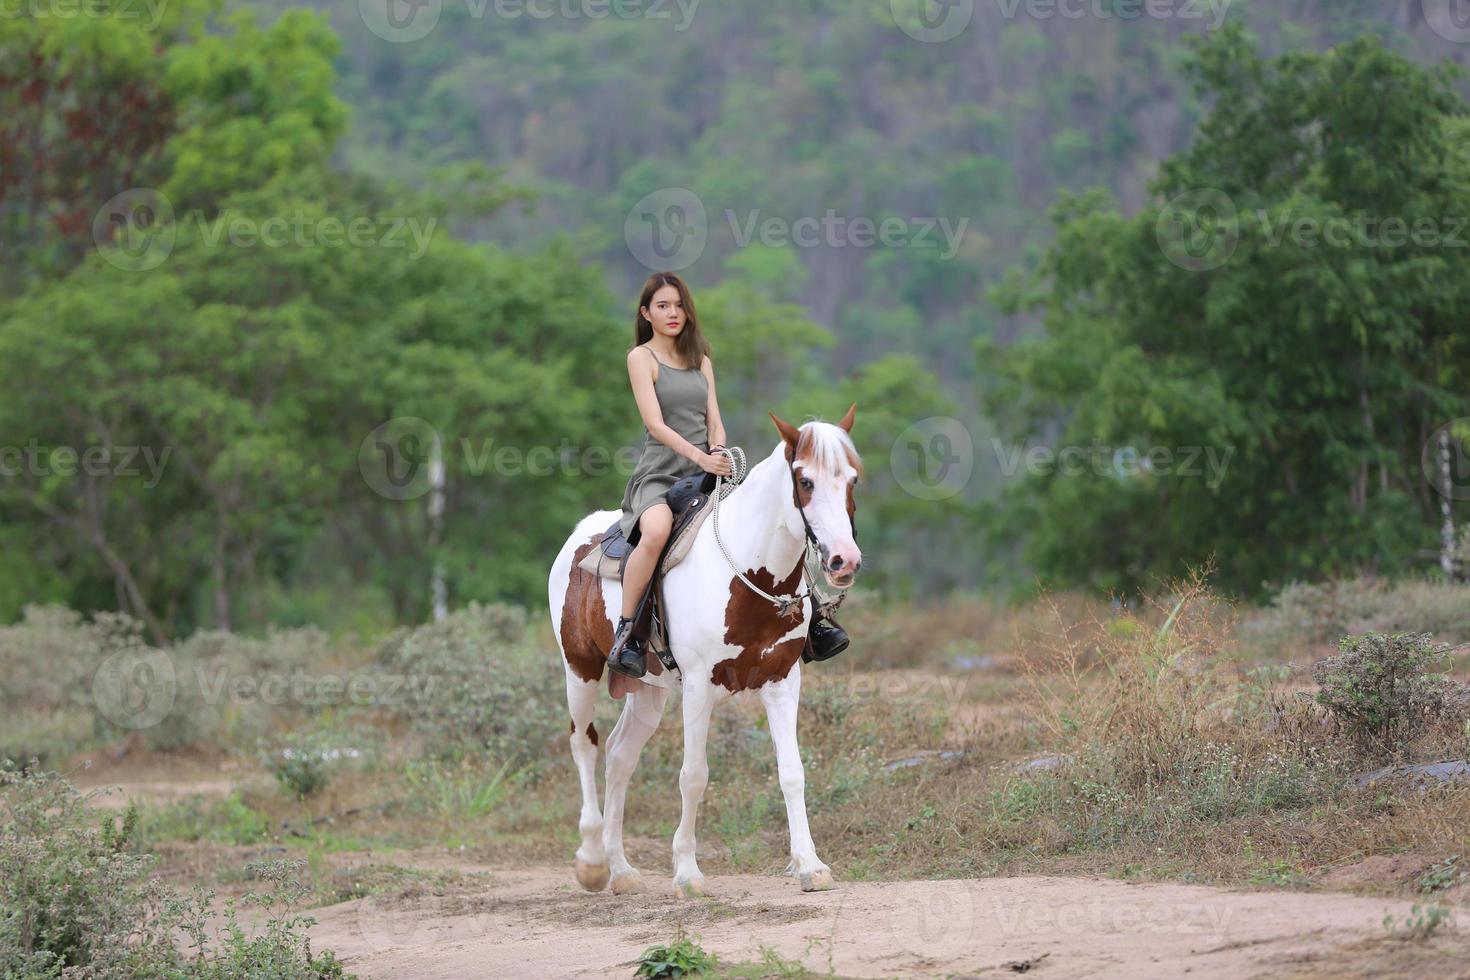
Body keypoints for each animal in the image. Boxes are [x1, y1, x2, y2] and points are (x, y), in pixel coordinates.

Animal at [549, 405, 858, 899]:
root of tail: (581, 534)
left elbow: (792, 771)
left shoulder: (782, 681)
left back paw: (621, 869)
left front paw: (810, 865)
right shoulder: (698, 687)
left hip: (647, 690)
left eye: (852, 478)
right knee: (585, 745)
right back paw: (593, 863)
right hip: (579, 670)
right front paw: (688, 873)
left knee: (619, 756)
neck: (750, 573)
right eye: (805, 480)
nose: (844, 561)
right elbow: (693, 776)